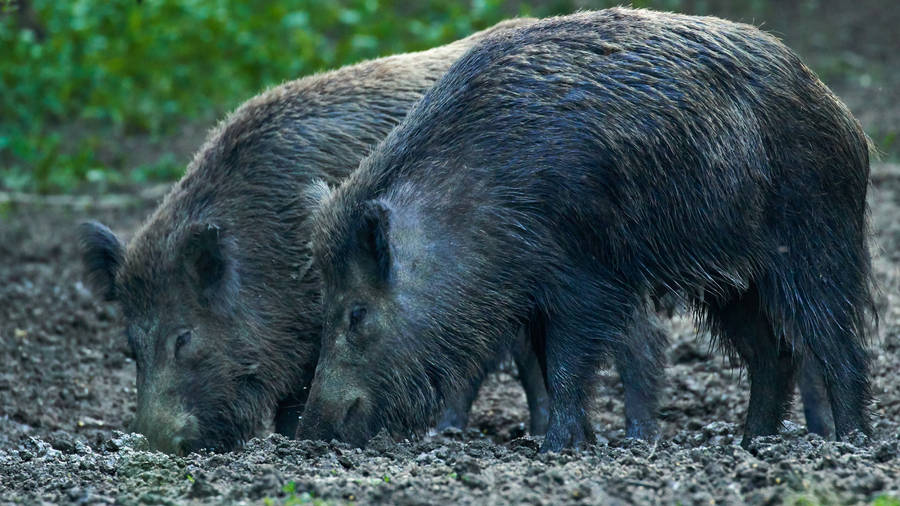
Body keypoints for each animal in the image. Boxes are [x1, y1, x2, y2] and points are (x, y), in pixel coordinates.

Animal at [300, 8, 874, 452]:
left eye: (356, 312)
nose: (310, 432)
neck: (474, 209)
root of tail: (844, 116)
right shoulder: (532, 295)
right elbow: (547, 367)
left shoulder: (587, 277)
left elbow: (566, 364)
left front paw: (557, 447)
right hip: (731, 283)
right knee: (771, 354)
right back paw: (752, 441)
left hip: (816, 240)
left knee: (837, 345)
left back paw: (850, 441)